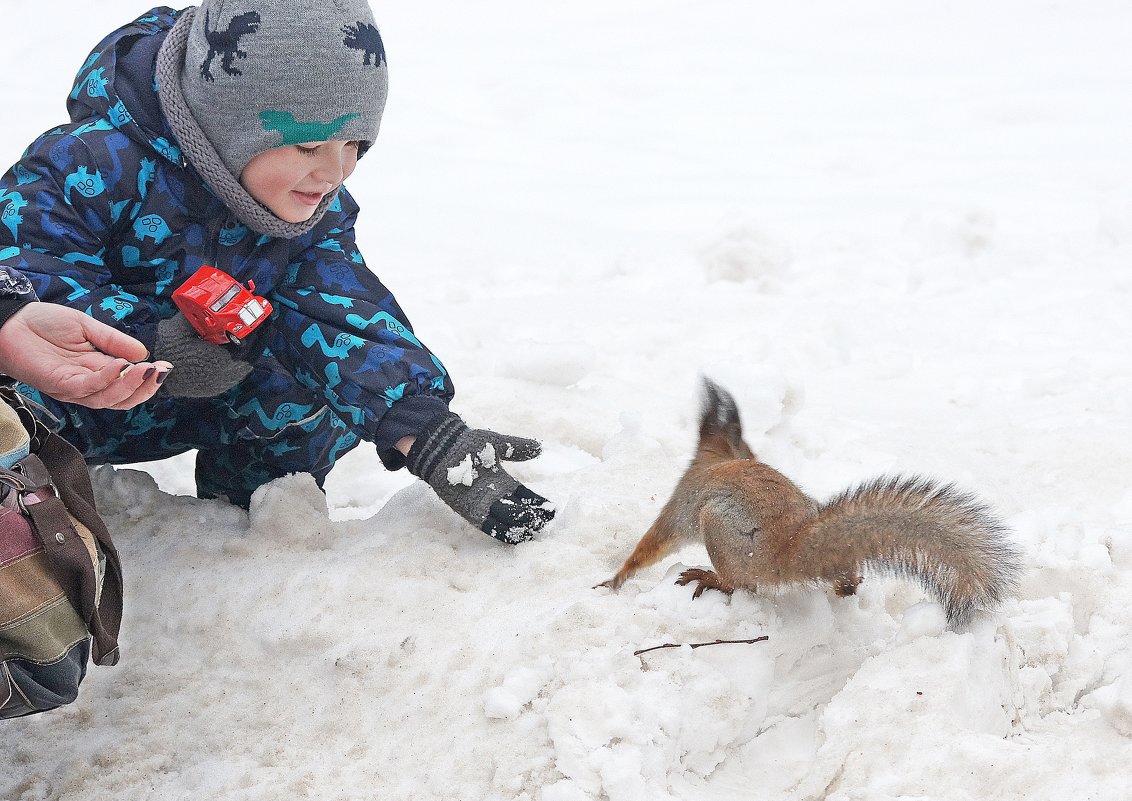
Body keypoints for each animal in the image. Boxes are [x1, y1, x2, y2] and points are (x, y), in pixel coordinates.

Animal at [597, 377, 1023, 629]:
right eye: (748, 443)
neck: (718, 459)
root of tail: (787, 551)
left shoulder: (683, 502)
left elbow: (653, 544)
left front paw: (616, 579)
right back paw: (845, 585)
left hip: (718, 526)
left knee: (740, 582)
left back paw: (710, 577)